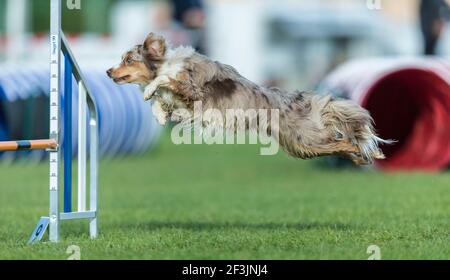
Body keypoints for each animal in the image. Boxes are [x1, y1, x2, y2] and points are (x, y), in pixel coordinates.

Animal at [107, 32, 388, 164]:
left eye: (128, 60)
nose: (108, 71)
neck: (165, 62)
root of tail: (304, 101)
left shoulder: (193, 89)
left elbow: (164, 81)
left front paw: (149, 92)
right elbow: (162, 100)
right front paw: (160, 114)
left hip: (306, 138)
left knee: (344, 141)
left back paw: (366, 153)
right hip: (302, 147)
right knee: (339, 146)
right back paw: (364, 157)